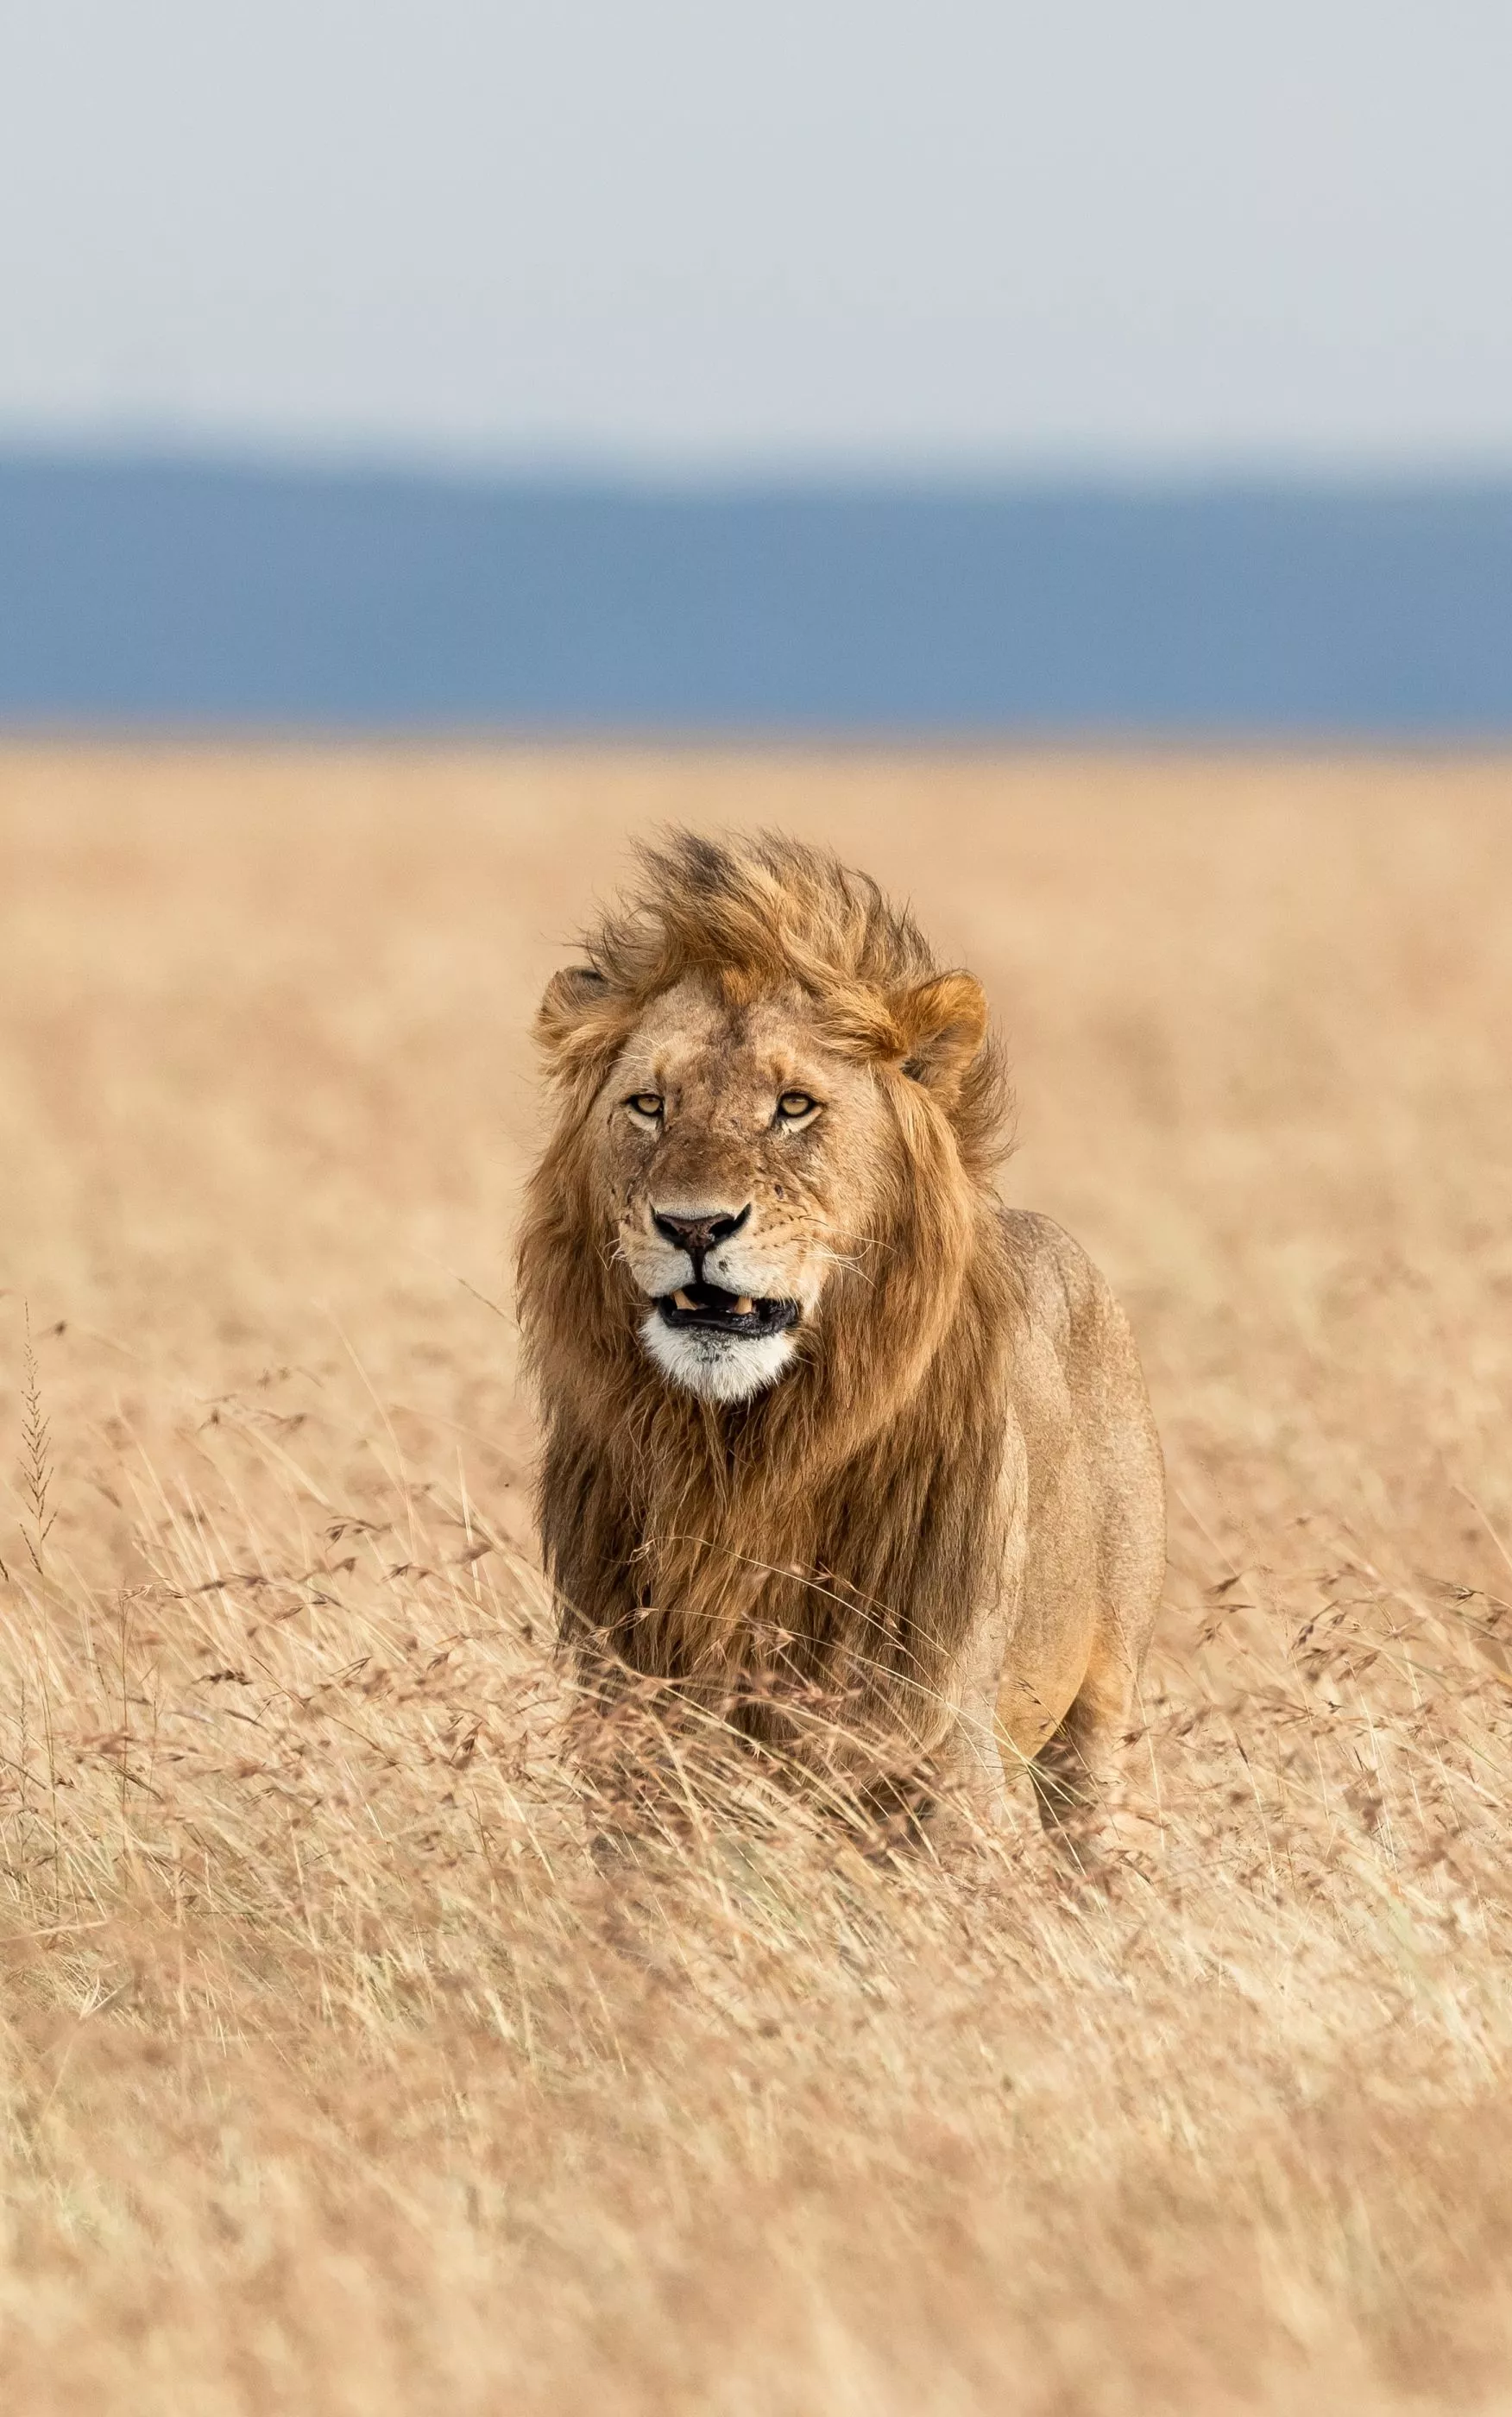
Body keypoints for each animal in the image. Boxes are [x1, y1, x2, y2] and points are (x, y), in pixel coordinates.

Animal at [516, 830, 1165, 1851]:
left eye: (794, 1106)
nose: (693, 1225)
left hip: (1105, 1711)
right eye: (650, 1104)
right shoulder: (636, 1732)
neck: (741, 1459)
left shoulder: (938, 1738)